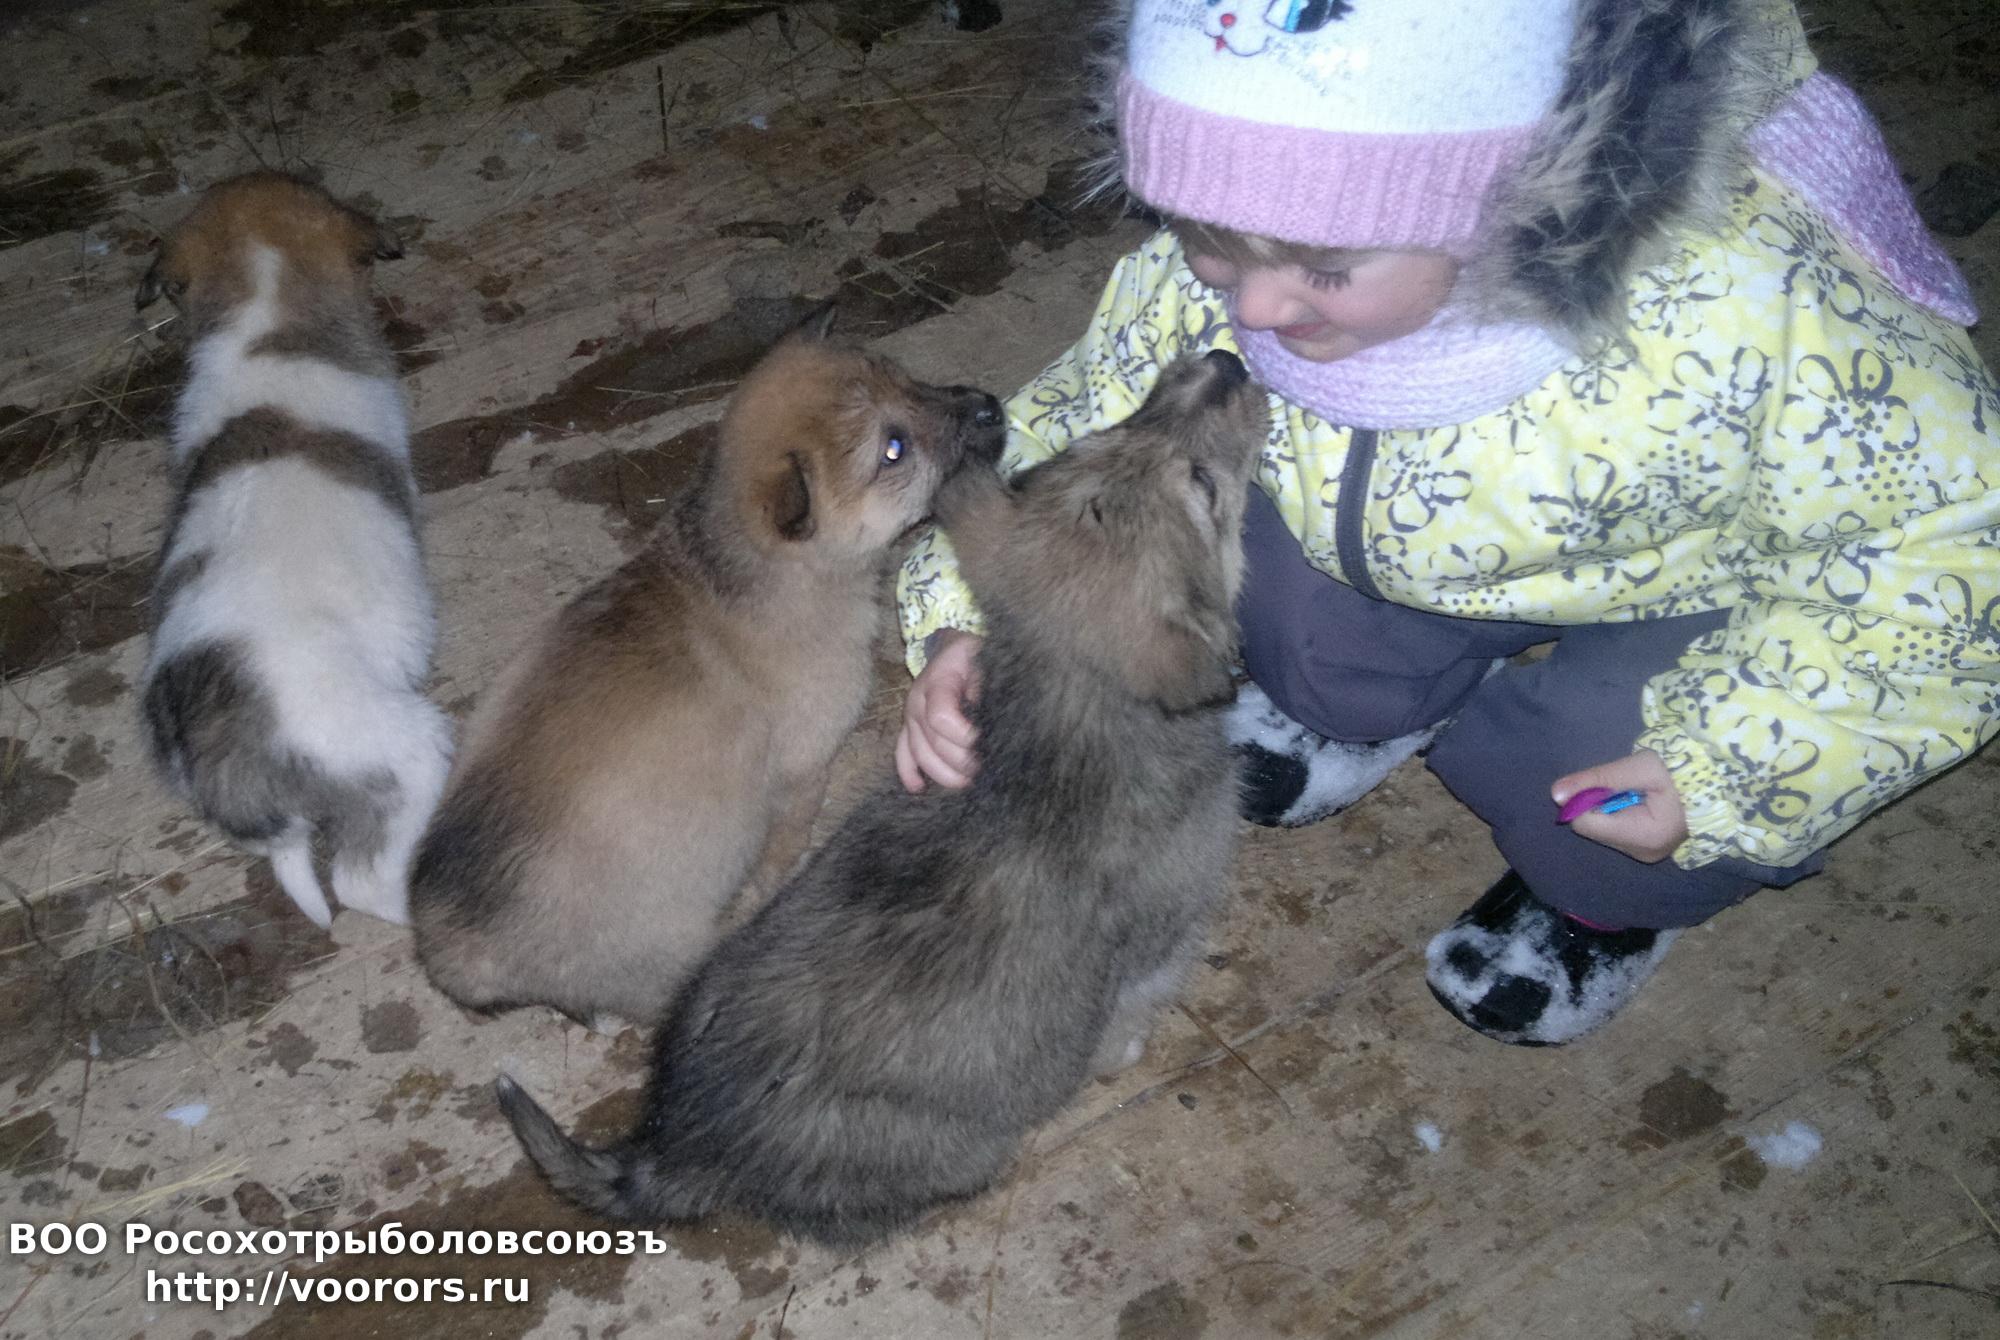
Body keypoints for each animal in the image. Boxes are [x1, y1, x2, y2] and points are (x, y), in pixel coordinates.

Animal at [409, 308, 1004, 1025]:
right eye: (893, 449)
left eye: (906, 379)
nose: (990, 406)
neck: (753, 573)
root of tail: (454, 952)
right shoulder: (806, 764)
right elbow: (787, 838)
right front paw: (775, 879)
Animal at [497, 349, 1266, 1247]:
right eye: (1204, 486)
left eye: (1105, 432)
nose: (1223, 360)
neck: (1068, 707)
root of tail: (680, 1147)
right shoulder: (1160, 946)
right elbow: (1132, 1014)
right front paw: (1123, 1055)